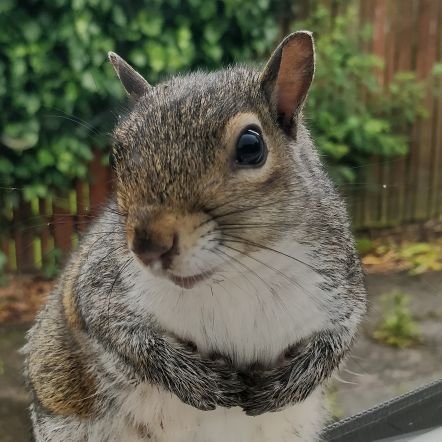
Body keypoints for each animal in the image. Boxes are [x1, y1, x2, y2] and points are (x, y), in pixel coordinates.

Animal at [25, 32, 368, 442]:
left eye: (251, 146)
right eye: (117, 153)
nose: (147, 246)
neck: (237, 274)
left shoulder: (340, 281)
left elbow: (338, 340)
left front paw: (285, 387)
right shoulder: (98, 285)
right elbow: (119, 333)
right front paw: (195, 379)